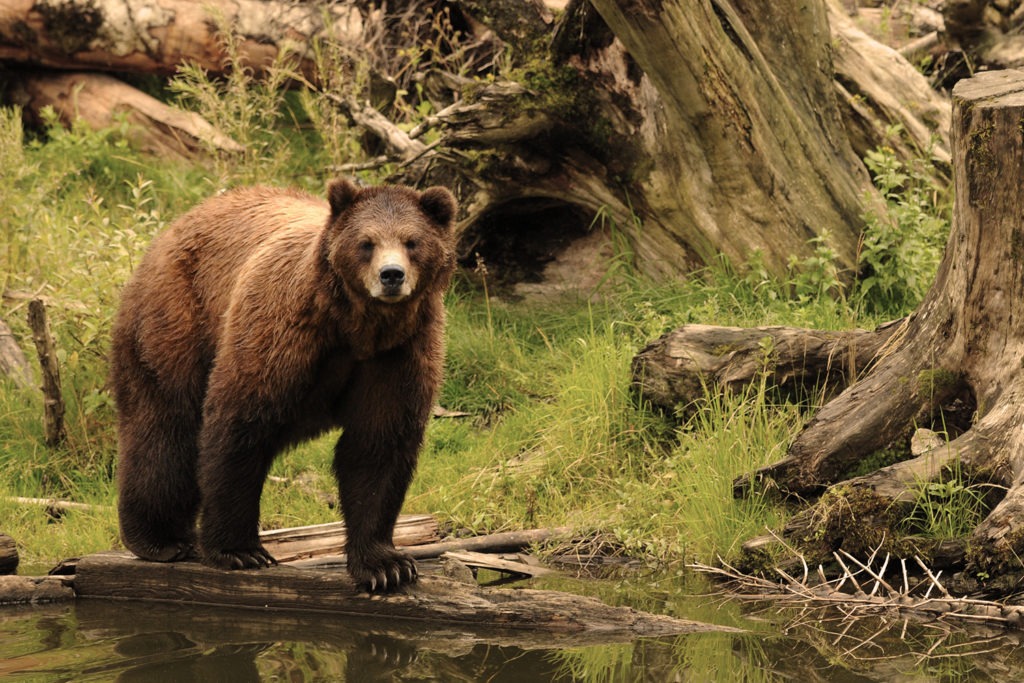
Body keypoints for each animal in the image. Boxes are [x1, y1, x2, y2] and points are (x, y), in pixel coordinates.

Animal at [111, 179, 456, 589]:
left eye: (411, 241)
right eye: (367, 242)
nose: (391, 275)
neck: (357, 326)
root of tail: (173, 227)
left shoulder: (400, 351)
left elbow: (378, 444)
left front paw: (387, 566)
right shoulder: (285, 329)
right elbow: (240, 425)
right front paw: (240, 550)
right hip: (179, 316)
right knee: (166, 425)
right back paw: (160, 539)